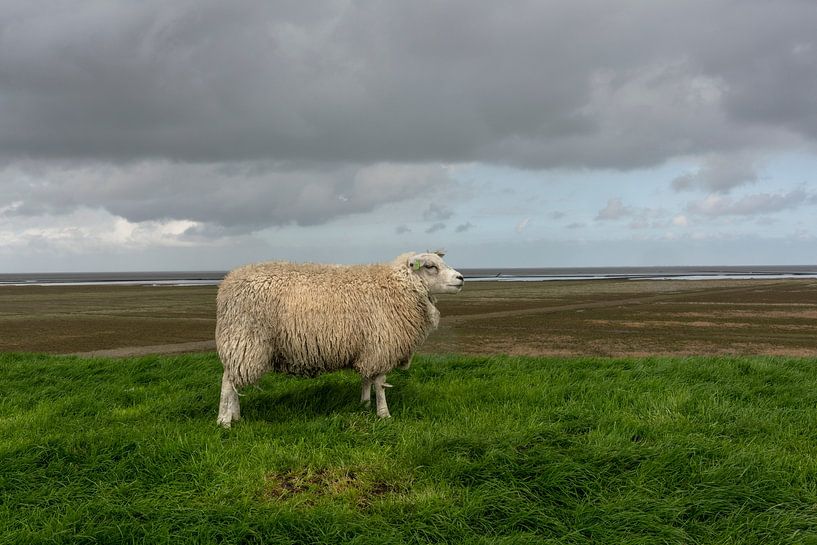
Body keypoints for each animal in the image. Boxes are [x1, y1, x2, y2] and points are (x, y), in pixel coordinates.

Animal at [215, 251, 463, 427]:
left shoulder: (368, 346)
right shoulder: (382, 345)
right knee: (228, 382)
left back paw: (236, 416)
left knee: (232, 380)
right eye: (430, 266)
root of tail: (227, 283)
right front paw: (384, 414)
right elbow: (380, 384)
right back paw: (224, 421)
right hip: (245, 341)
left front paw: (364, 404)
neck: (398, 286)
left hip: (240, 343)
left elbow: (367, 379)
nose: (461, 278)